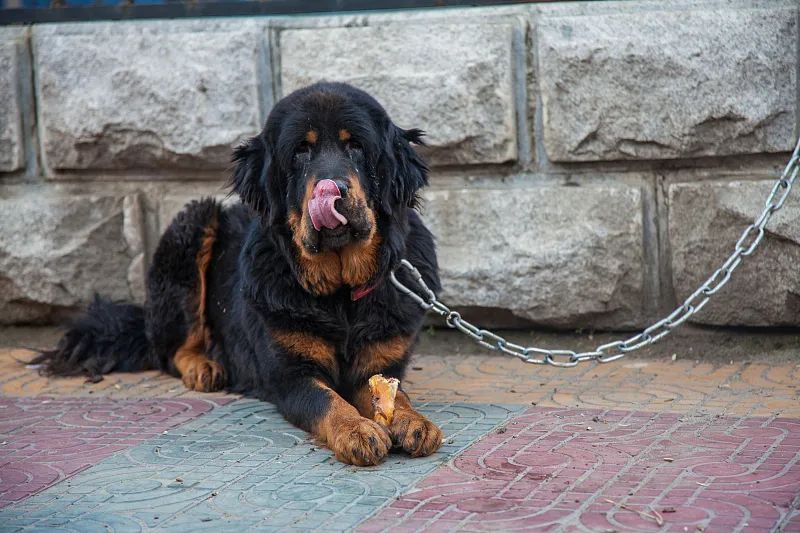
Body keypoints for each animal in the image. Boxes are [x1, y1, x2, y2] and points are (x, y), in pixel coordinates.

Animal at [31, 80, 444, 466]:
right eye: (300, 152)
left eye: (356, 146)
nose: (334, 189)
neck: (341, 294)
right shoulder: (289, 375)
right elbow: (328, 401)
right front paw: (357, 429)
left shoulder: (380, 365)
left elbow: (395, 395)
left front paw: (413, 421)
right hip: (193, 224)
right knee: (171, 349)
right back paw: (204, 366)